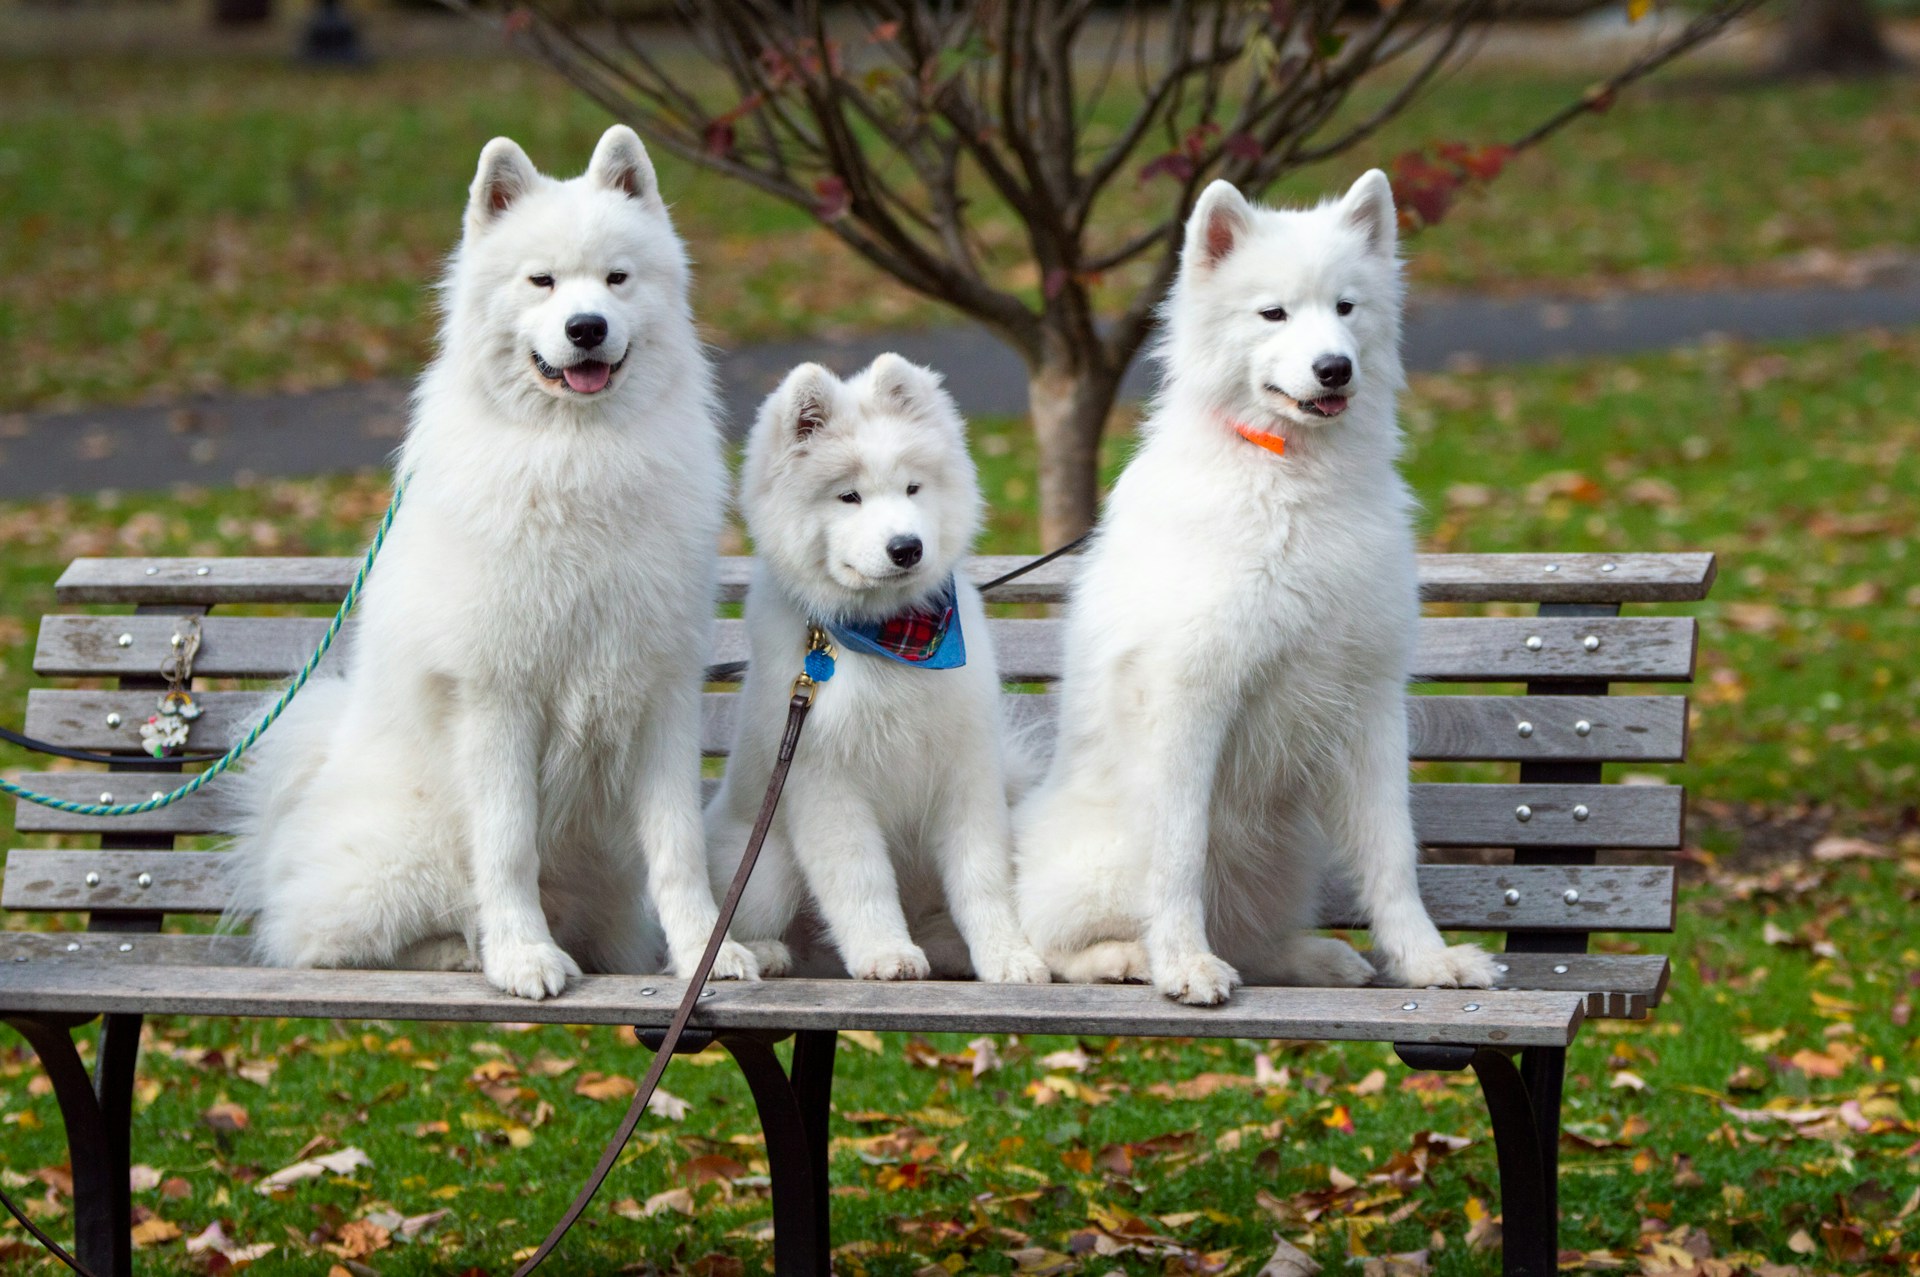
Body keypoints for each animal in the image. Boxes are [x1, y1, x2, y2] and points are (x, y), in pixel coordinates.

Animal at [224, 124, 756, 998]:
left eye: (616, 278)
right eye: (542, 281)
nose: (586, 327)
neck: (578, 457)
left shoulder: (661, 694)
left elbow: (678, 848)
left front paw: (706, 953)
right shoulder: (497, 700)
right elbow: (507, 847)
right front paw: (522, 955)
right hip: (401, 865)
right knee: (320, 939)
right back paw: (462, 947)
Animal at [710, 353, 1052, 979]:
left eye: (913, 487)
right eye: (849, 497)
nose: (906, 547)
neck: (889, 637)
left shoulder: (966, 770)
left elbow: (983, 876)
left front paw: (1007, 956)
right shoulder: (825, 783)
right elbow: (859, 878)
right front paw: (886, 953)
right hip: (767, 864)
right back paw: (766, 952)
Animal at [1006, 168, 1497, 1006]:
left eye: (1345, 307)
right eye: (1274, 312)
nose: (1335, 368)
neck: (1288, 476)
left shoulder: (1371, 703)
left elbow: (1393, 855)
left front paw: (1426, 961)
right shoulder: (1188, 700)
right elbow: (1178, 855)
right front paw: (1184, 964)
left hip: (1283, 854)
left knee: (1253, 935)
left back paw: (1316, 957)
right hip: (1105, 860)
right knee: (1050, 938)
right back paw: (1130, 957)